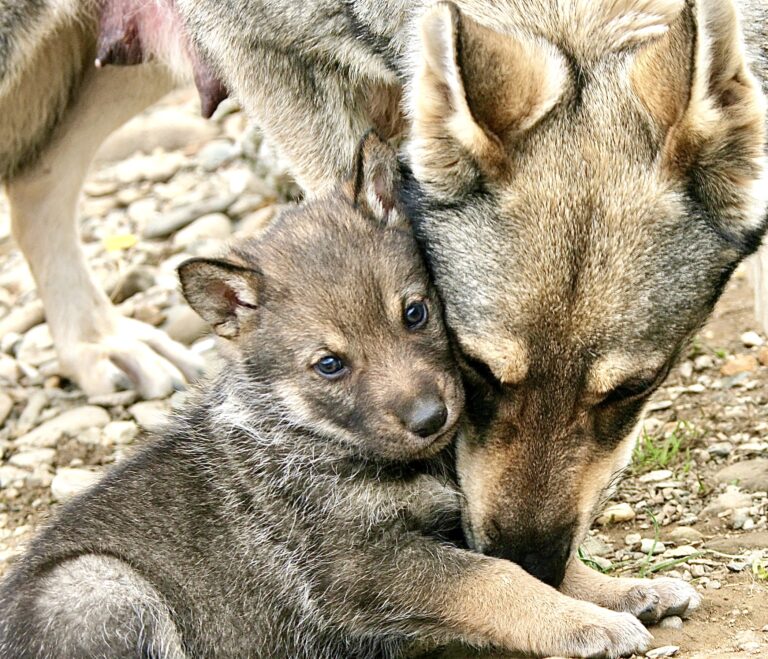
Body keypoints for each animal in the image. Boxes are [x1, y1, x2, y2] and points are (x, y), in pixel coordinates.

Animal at [0, 134, 656, 659]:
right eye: (330, 365)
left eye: (415, 312)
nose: (431, 417)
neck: (310, 433)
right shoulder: (361, 562)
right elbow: (496, 579)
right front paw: (587, 624)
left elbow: (539, 565)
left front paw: (621, 591)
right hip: (100, 584)